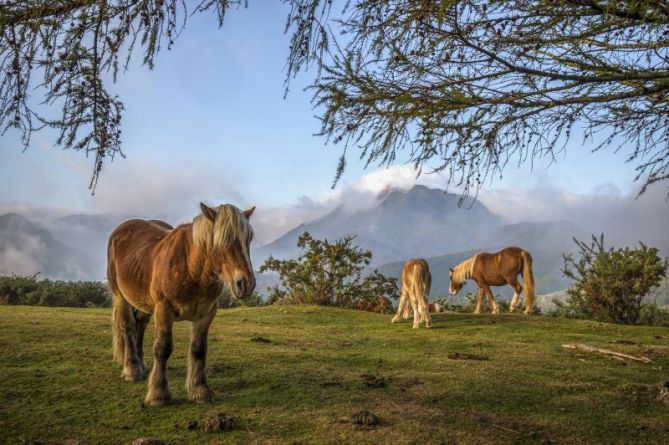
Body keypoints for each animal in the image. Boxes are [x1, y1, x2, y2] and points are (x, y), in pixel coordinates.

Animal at [107, 203, 256, 404]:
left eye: (248, 238)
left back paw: (142, 365)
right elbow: (162, 348)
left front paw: (200, 390)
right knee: (128, 327)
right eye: (223, 239)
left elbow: (199, 349)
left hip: (143, 301)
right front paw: (158, 394)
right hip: (121, 297)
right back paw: (132, 369)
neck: (192, 269)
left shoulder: (206, 314)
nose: (246, 283)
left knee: (140, 325)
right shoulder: (163, 310)